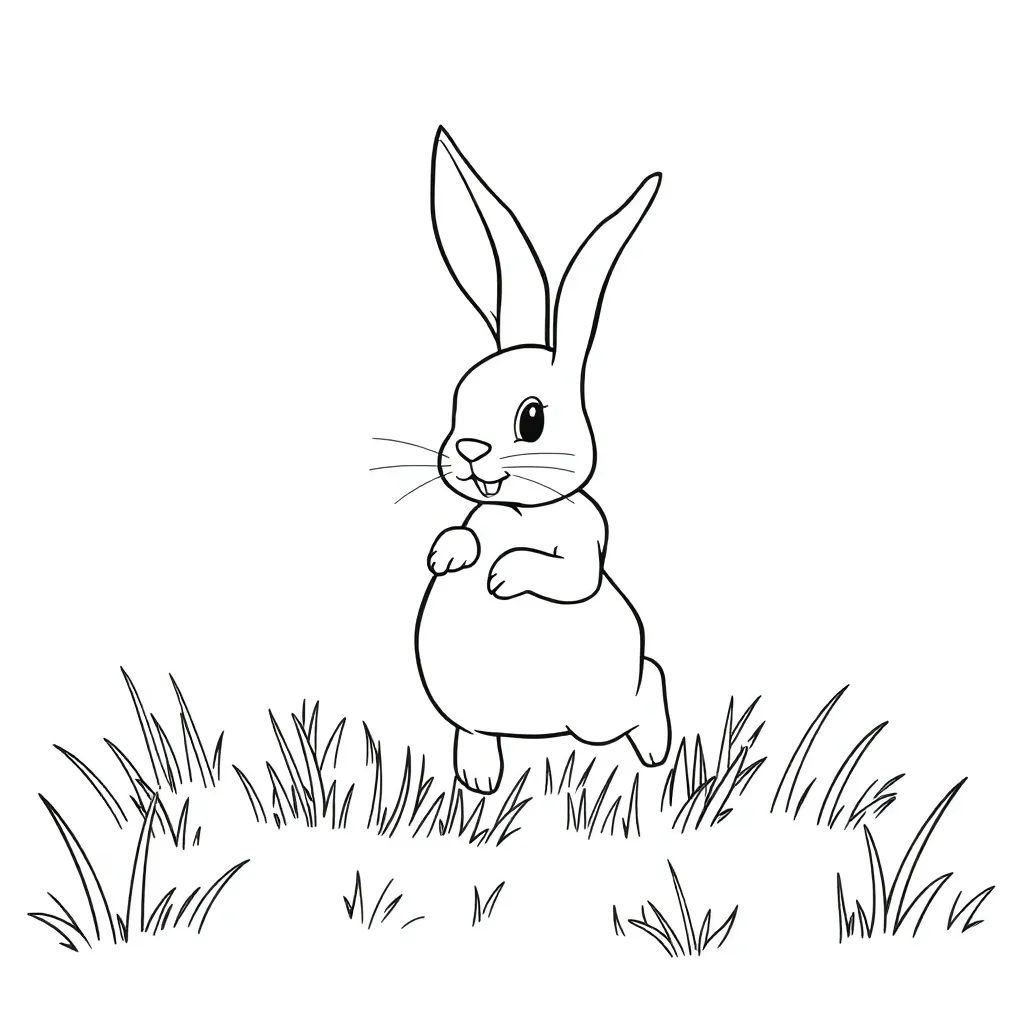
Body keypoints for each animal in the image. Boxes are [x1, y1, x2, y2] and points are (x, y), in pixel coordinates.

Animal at [413, 126, 671, 794]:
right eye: (459, 404)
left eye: (531, 420)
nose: (468, 452)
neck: (522, 512)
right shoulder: (482, 517)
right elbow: (466, 534)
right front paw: (448, 555)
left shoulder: (585, 541)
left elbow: (571, 576)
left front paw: (504, 576)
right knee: (476, 733)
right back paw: (479, 778)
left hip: (603, 713)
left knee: (652, 680)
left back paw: (657, 751)